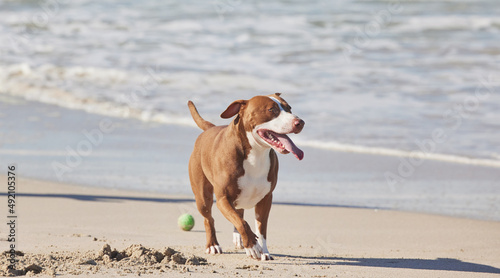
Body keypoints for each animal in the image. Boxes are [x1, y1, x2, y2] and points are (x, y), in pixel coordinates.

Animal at [188, 93, 304, 260]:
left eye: (289, 108)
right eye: (272, 110)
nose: (300, 122)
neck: (256, 153)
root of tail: (210, 129)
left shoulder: (266, 200)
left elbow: (260, 229)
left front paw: (264, 251)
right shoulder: (223, 199)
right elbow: (242, 223)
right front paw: (252, 245)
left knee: (239, 212)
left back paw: (238, 239)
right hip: (203, 197)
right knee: (209, 218)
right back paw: (213, 245)